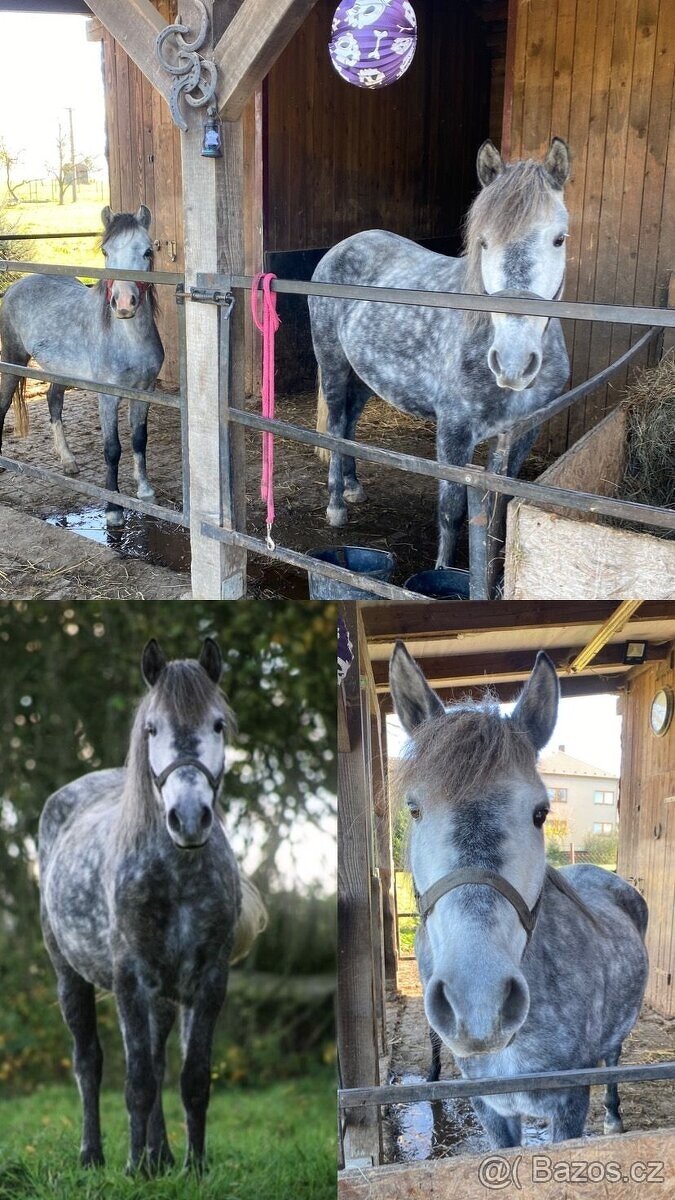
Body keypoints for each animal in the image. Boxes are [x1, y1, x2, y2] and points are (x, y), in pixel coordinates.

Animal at [0, 205, 164, 526]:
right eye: (105, 251)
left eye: (147, 251)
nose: (123, 304)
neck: (128, 340)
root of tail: (17, 284)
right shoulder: (107, 397)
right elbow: (112, 449)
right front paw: (113, 508)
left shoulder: (145, 392)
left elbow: (139, 440)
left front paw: (145, 492)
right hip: (13, 361)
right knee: (3, 405)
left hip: (60, 370)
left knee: (53, 401)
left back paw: (68, 461)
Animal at [38, 638, 267, 1173]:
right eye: (152, 728)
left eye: (217, 724)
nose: (189, 817)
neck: (175, 873)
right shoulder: (131, 979)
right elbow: (136, 1080)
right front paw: (133, 1170)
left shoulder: (208, 981)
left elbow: (192, 1079)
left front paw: (193, 1168)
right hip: (69, 976)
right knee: (89, 1062)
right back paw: (95, 1156)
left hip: (164, 995)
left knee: (161, 1061)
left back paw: (159, 1155)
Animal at [309, 139, 572, 567]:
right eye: (483, 241)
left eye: (559, 239)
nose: (513, 361)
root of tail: (342, 247)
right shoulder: (454, 433)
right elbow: (451, 512)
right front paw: (444, 571)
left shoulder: (522, 434)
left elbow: (499, 511)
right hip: (332, 363)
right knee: (334, 427)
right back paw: (336, 506)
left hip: (364, 377)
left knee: (349, 424)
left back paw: (353, 486)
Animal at [389, 644, 648, 1147]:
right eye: (414, 809)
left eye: (540, 812)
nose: (479, 1002)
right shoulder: (491, 1110)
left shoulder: (568, 1107)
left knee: (614, 1058)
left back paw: (613, 1115)